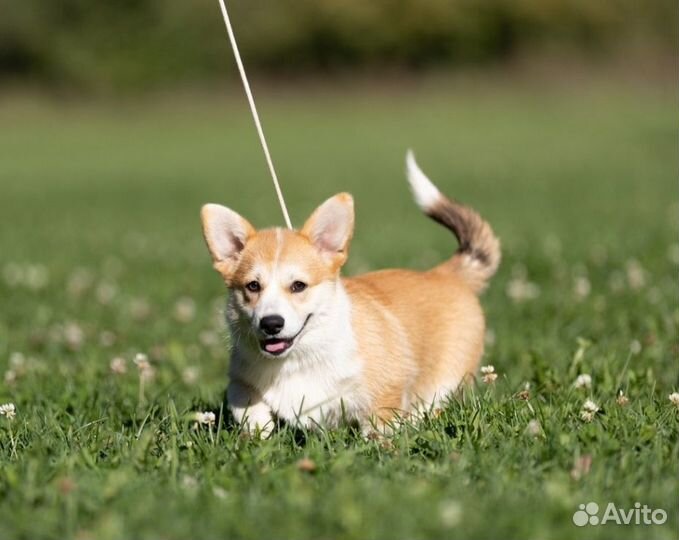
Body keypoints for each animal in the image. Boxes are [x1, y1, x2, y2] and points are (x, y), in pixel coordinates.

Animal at [201, 151, 500, 434]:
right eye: (253, 286)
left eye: (299, 286)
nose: (271, 324)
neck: (297, 358)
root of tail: (444, 273)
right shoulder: (241, 378)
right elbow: (245, 403)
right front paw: (258, 431)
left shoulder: (385, 392)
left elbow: (379, 427)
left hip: (447, 379)